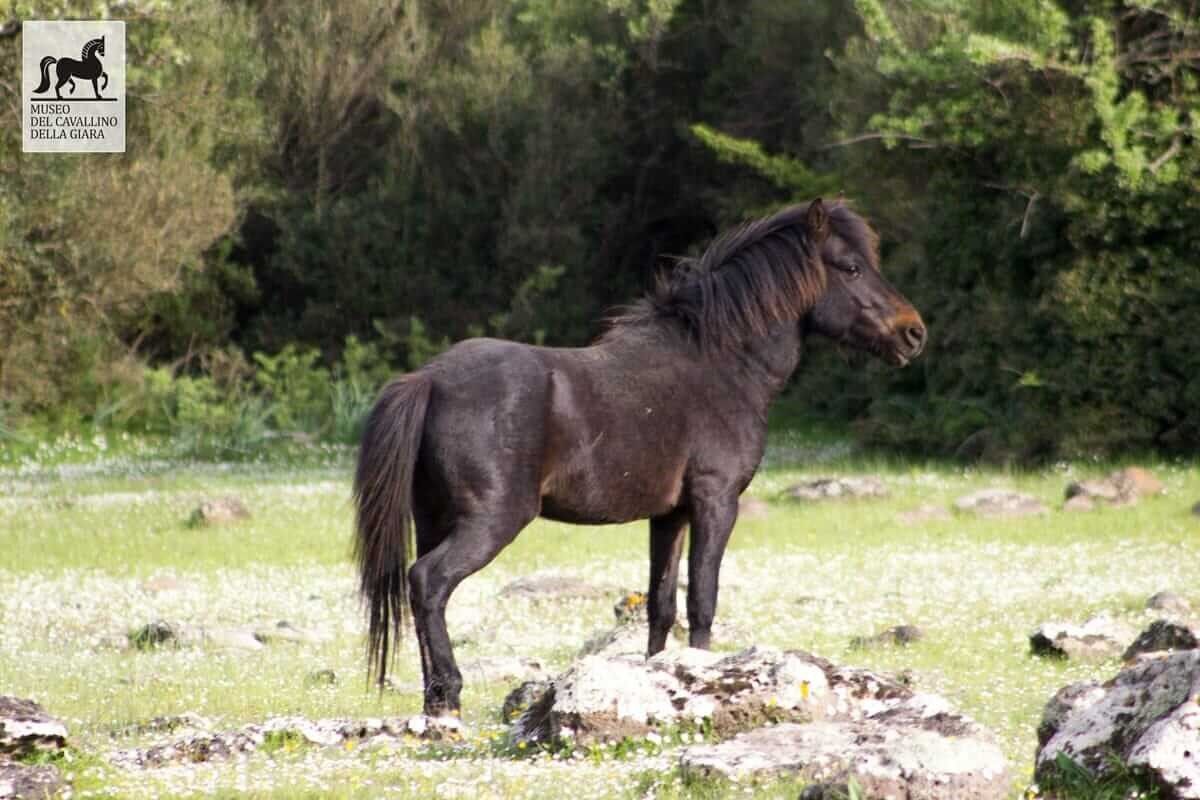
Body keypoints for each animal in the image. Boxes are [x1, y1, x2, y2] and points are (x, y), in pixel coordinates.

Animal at [350, 199, 921, 714]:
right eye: (851, 267)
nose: (913, 332)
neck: (720, 364)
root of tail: (429, 379)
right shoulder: (716, 501)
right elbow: (702, 600)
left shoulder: (669, 516)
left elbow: (661, 606)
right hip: (490, 521)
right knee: (429, 582)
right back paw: (448, 694)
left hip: (433, 519)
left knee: (420, 593)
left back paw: (433, 702)